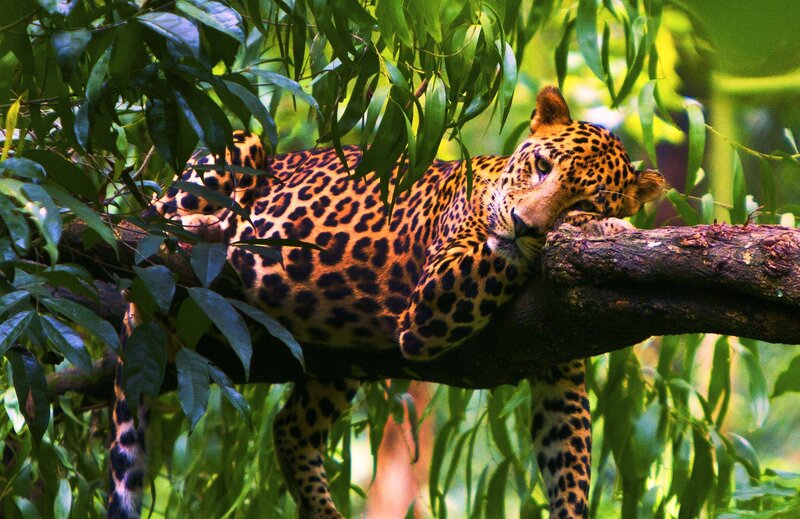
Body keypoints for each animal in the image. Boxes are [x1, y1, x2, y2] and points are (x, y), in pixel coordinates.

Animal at [108, 86, 664, 519]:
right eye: (542, 165)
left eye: (584, 197)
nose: (524, 225)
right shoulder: (438, 296)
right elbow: (501, 255)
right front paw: (608, 228)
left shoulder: (559, 365)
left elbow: (569, 464)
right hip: (236, 148)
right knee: (150, 218)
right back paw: (208, 228)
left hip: (338, 354)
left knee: (290, 428)